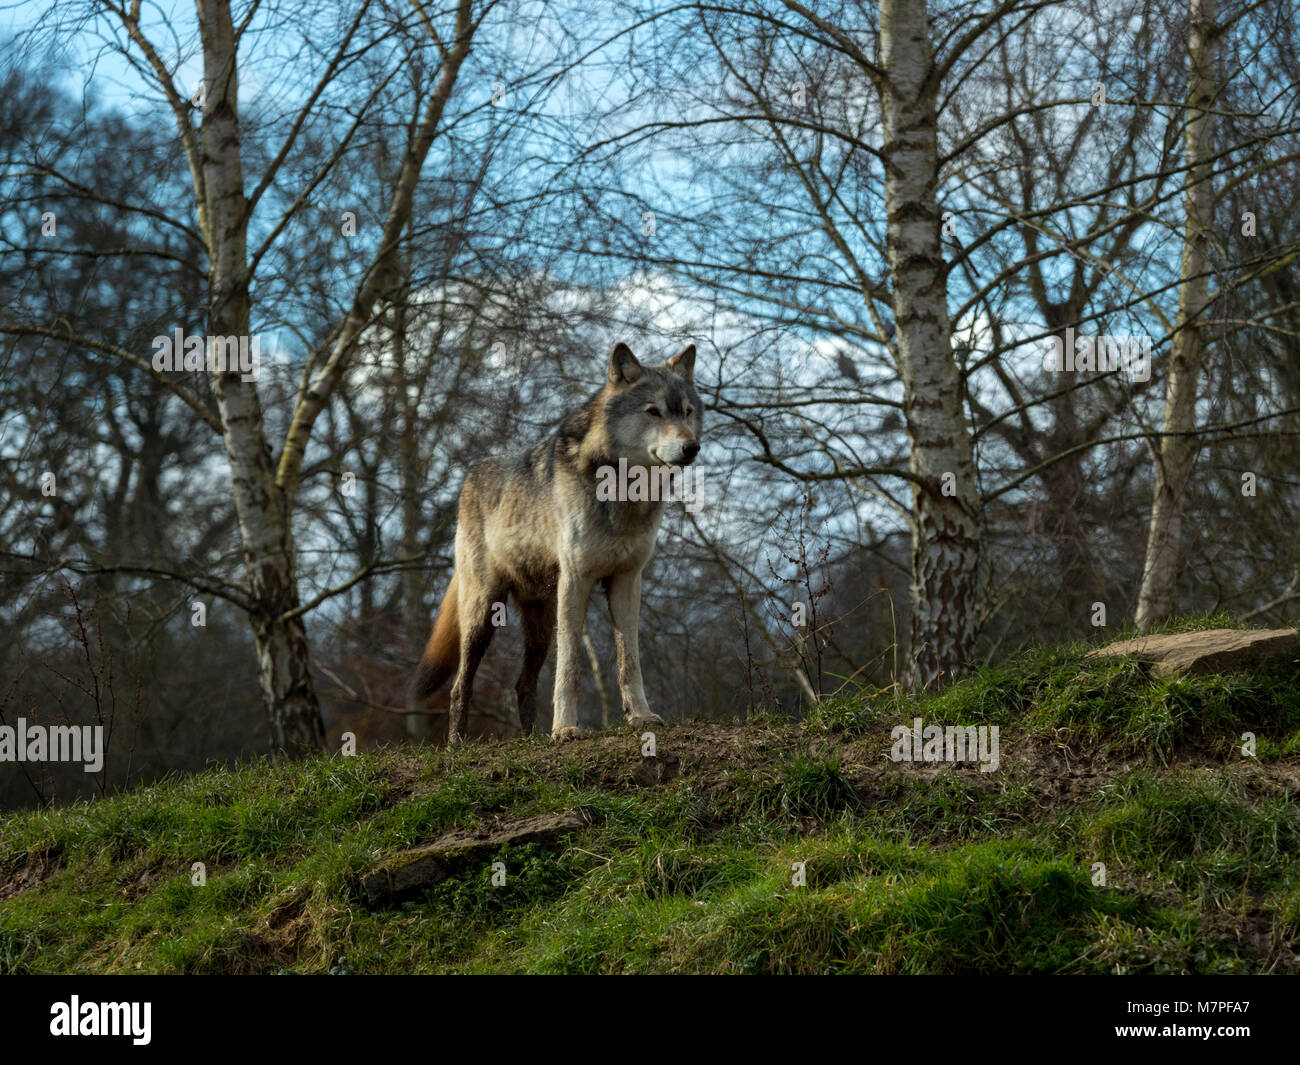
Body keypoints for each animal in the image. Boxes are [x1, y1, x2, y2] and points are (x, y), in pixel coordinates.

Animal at [413, 340, 702, 743]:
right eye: (654, 412)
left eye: (687, 412)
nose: (692, 448)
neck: (623, 492)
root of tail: (469, 477)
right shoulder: (576, 582)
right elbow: (570, 667)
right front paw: (565, 728)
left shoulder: (627, 582)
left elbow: (630, 662)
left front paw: (640, 717)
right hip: (483, 614)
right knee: (460, 684)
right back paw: (458, 742)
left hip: (540, 625)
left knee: (522, 683)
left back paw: (529, 737)